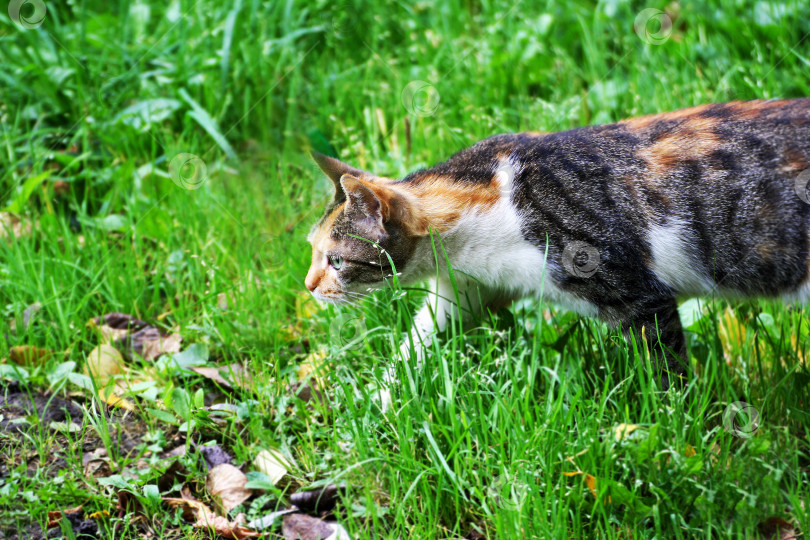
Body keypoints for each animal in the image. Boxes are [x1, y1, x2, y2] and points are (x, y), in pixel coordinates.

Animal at [304, 99, 808, 390]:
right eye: (311, 249)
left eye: (335, 260)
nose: (308, 285)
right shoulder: (465, 288)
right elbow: (419, 340)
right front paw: (377, 406)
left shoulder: (633, 291)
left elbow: (666, 369)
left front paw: (677, 425)